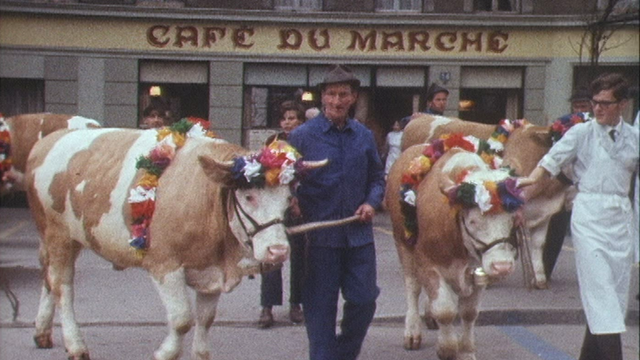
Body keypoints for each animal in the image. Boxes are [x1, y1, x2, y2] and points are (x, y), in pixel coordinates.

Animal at [26, 127, 318, 360]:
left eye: (288, 198)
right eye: (248, 197)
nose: (278, 250)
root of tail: (50, 138)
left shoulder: (211, 270)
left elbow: (205, 321)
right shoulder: (164, 264)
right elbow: (182, 320)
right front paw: (164, 352)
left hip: (72, 238)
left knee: (49, 279)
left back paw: (42, 333)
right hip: (57, 233)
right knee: (63, 287)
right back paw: (76, 346)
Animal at [384, 147, 520, 360]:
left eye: (511, 218)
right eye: (473, 221)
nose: (502, 266)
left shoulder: (477, 271)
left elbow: (469, 313)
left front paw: (466, 350)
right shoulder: (428, 265)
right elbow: (445, 311)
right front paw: (447, 349)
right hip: (402, 244)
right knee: (413, 288)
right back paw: (412, 331)